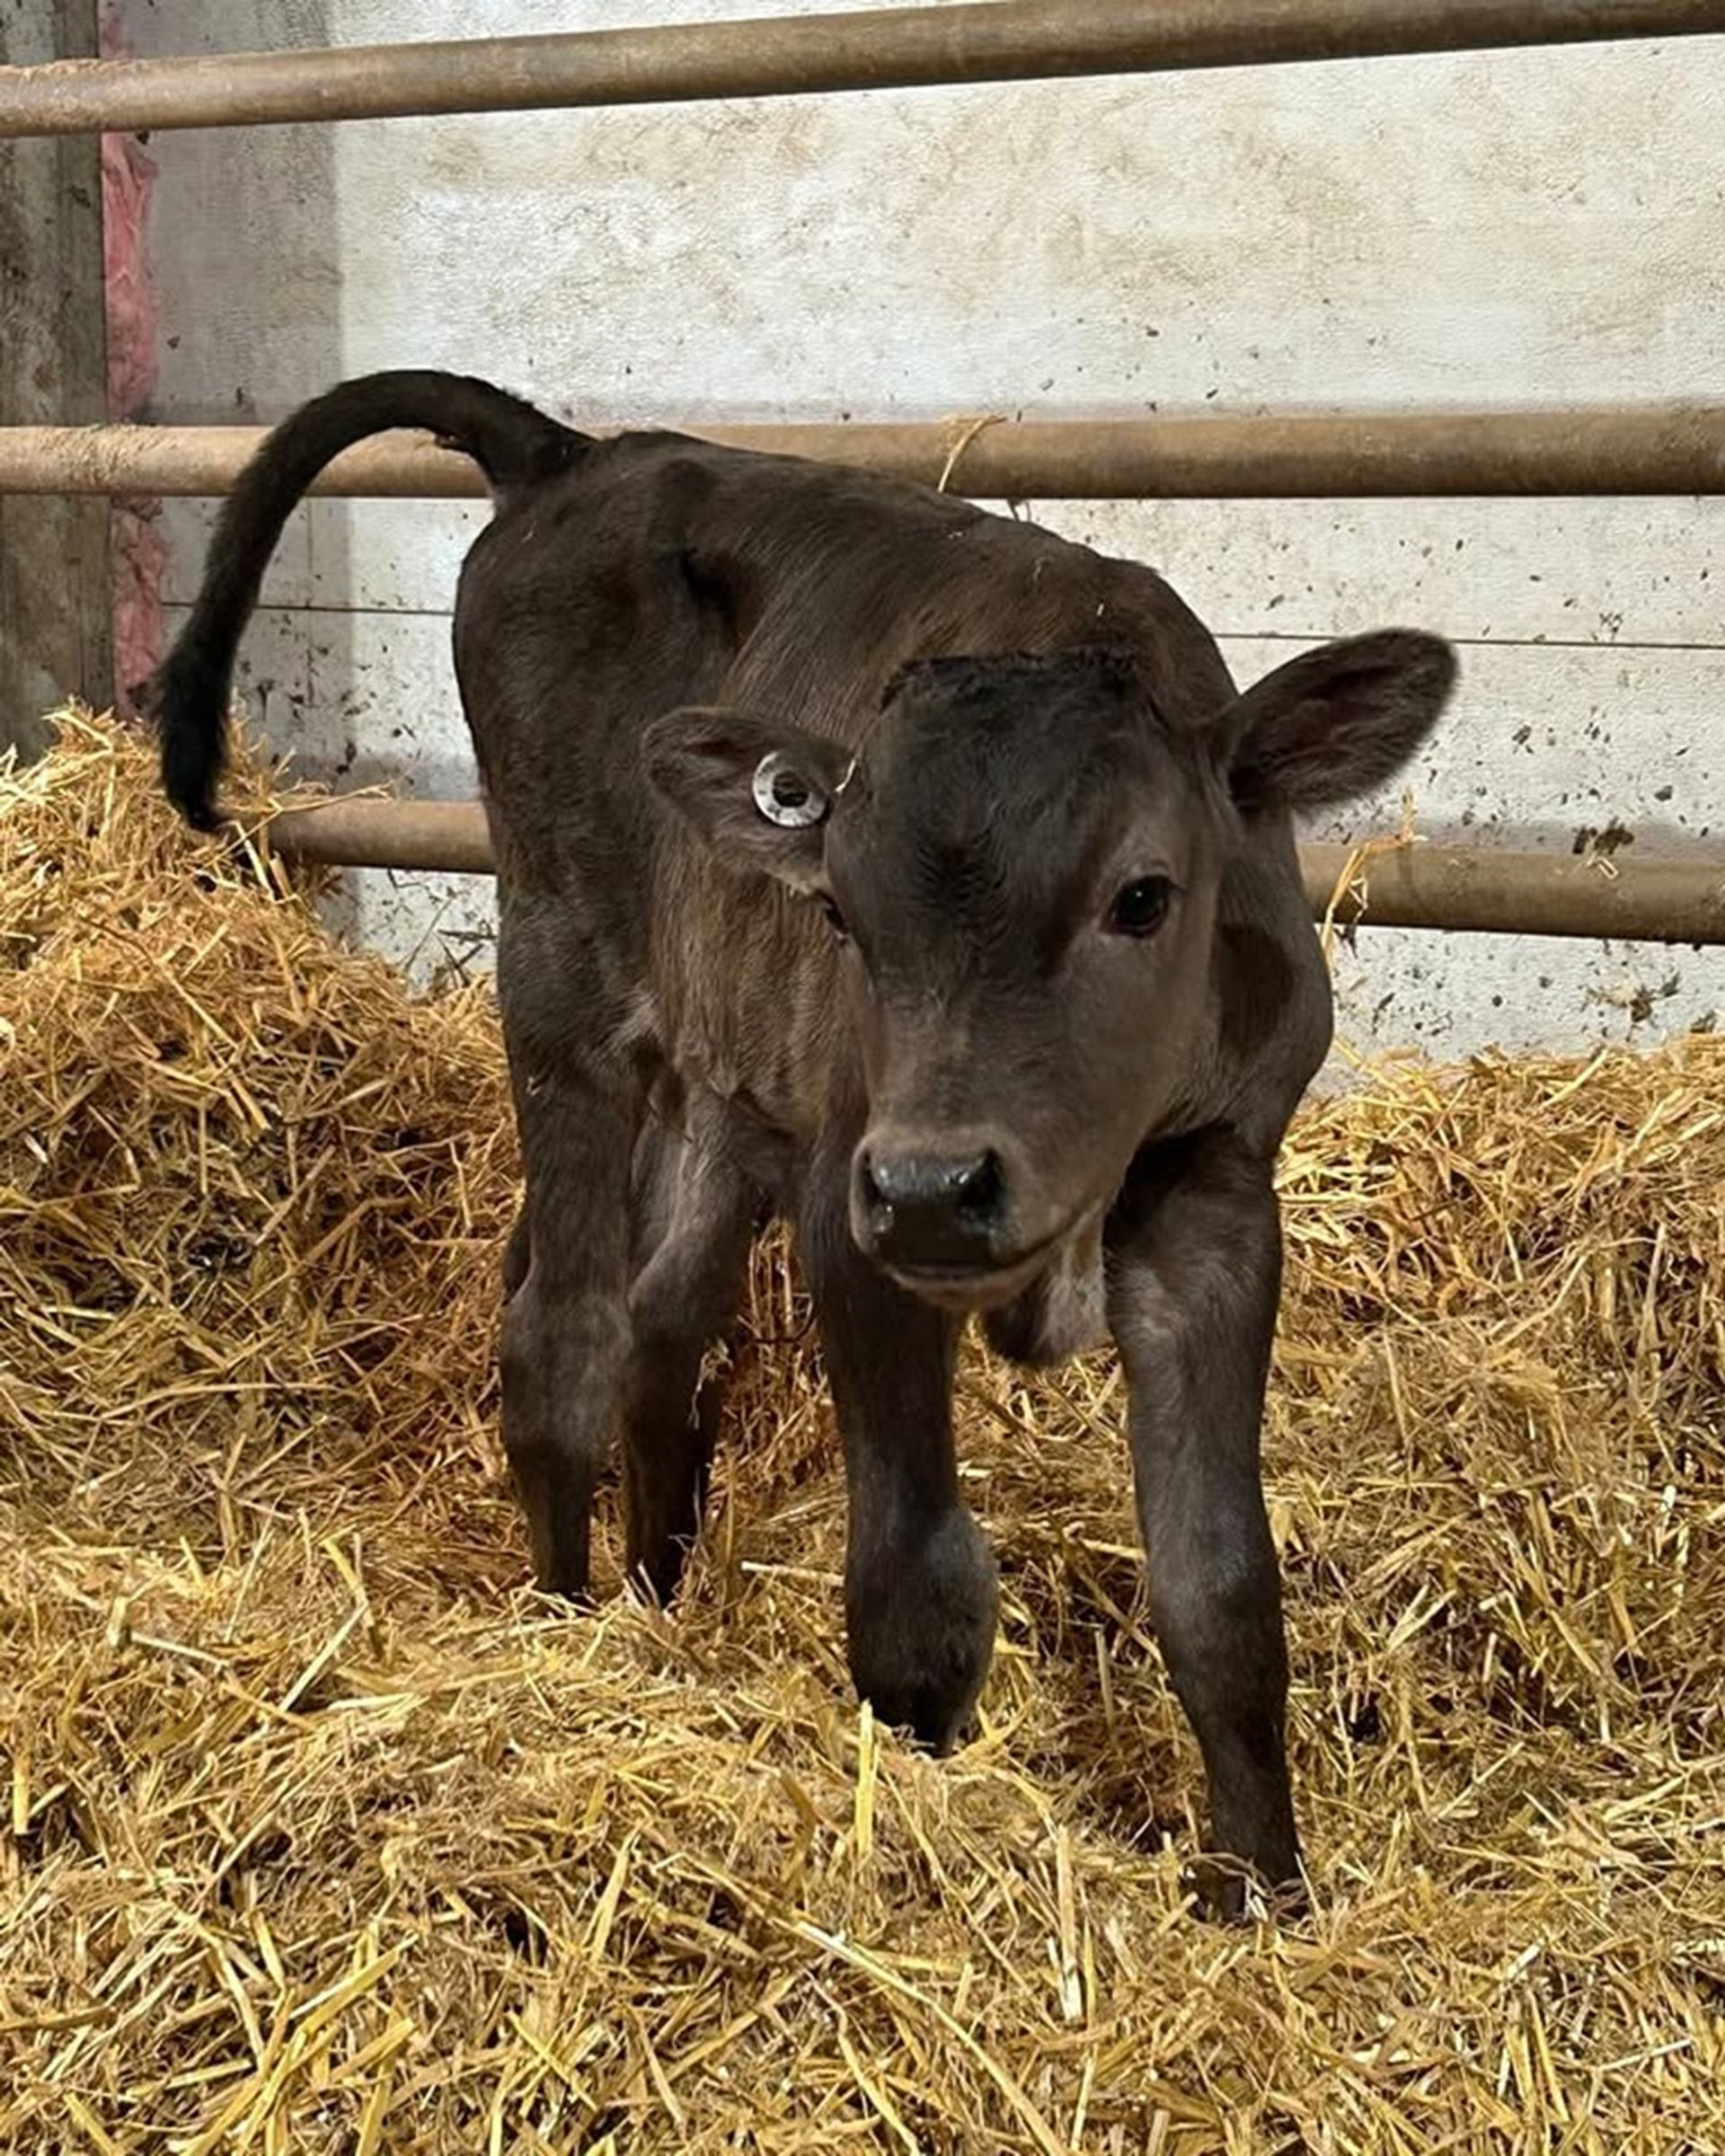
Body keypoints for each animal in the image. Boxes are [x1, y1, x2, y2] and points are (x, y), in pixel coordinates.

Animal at [155, 371, 1456, 1913]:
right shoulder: (852, 1199)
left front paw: (1264, 1890)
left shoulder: (1219, 1191)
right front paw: (925, 1829)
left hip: (716, 1080)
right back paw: (563, 1627)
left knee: (661, 1322)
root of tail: (578, 455)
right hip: (562, 979)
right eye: (842, 911)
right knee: (561, 1333)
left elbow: (1223, 1587)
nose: (940, 1188)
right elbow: (915, 1586)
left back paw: (654, 1592)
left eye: (1144, 896)